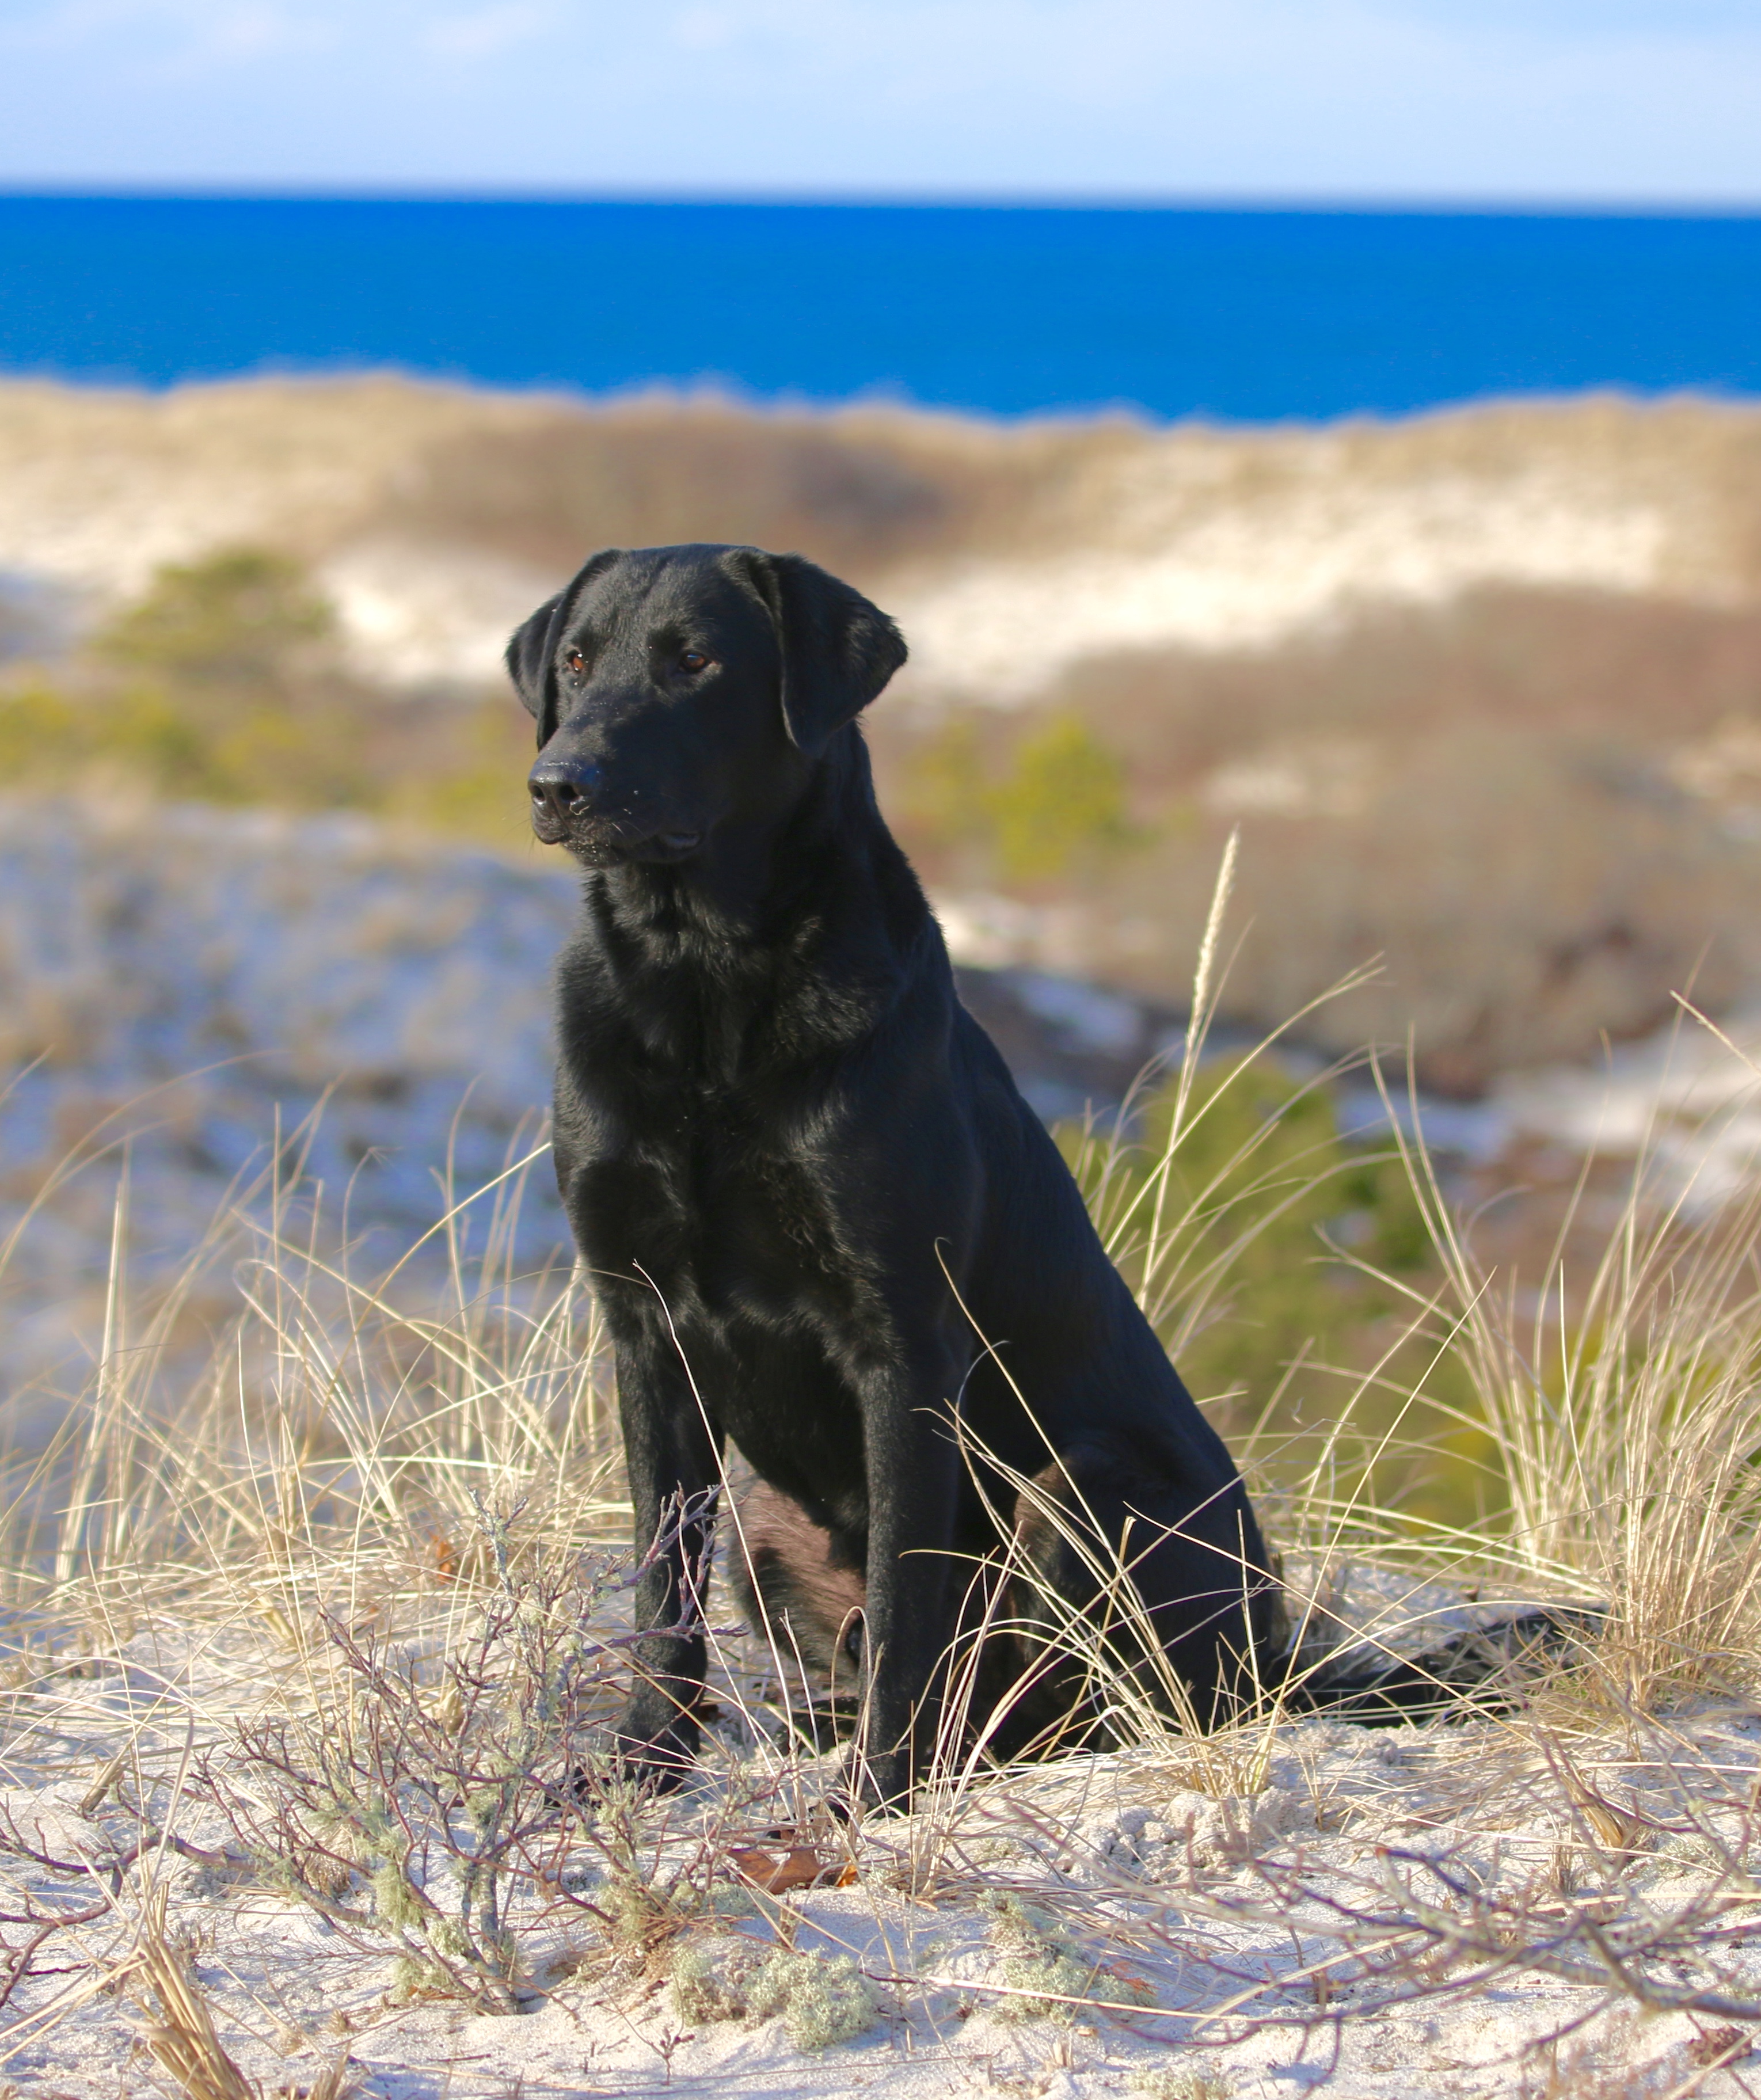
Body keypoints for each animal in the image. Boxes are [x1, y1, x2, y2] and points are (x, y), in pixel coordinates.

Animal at [505, 546, 1570, 1806]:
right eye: (578, 660)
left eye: (697, 663)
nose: (558, 782)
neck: (702, 980)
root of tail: (1279, 1658)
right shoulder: (642, 1325)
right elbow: (658, 1581)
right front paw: (642, 1764)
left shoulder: (903, 1340)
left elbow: (907, 1599)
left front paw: (878, 1793)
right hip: (767, 1523)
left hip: (1078, 1488)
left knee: (1092, 1699)